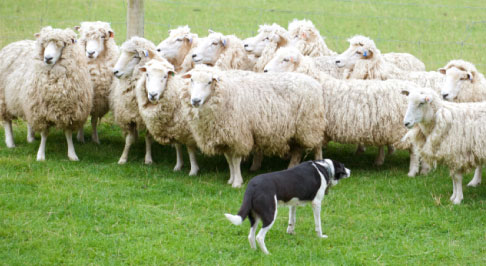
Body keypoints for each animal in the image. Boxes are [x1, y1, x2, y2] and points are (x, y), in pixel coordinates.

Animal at [0, 27, 92, 161]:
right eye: (44, 44)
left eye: (62, 44)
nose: (47, 58)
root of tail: (15, 43)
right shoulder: (42, 111)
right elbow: (44, 134)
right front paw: (41, 155)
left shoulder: (68, 111)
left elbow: (68, 133)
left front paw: (72, 154)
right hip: (4, 99)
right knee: (7, 122)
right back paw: (10, 143)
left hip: (28, 101)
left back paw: (30, 138)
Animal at [110, 35, 155, 164]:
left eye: (135, 56)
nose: (115, 71)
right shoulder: (128, 117)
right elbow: (128, 139)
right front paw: (123, 158)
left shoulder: (149, 118)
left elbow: (148, 138)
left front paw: (148, 159)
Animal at [178, 65, 322, 188]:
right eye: (191, 80)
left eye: (209, 82)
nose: (195, 101)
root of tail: (314, 82)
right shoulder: (225, 137)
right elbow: (229, 160)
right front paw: (231, 179)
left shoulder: (238, 136)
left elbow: (235, 160)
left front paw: (237, 182)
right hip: (299, 129)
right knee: (297, 150)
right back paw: (291, 168)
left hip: (310, 124)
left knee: (317, 145)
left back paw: (320, 162)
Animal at [264, 55, 428, 174]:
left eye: (285, 59)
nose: (265, 71)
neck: (318, 83)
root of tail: (414, 89)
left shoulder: (314, 126)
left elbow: (314, 148)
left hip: (403, 128)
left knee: (414, 150)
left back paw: (413, 171)